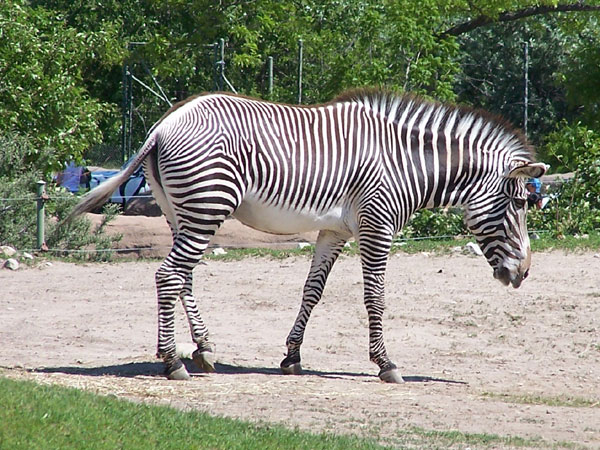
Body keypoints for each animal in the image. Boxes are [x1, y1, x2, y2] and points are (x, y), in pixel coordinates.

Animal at [70, 89, 548, 384]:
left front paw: (292, 356)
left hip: (180, 211)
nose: (524, 272)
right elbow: (375, 296)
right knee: (169, 276)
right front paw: (386, 363)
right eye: (520, 205)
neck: (406, 163)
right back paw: (173, 363)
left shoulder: (334, 229)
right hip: (207, 205)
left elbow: (312, 290)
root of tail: (162, 126)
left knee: (183, 277)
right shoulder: (377, 225)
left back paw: (204, 350)